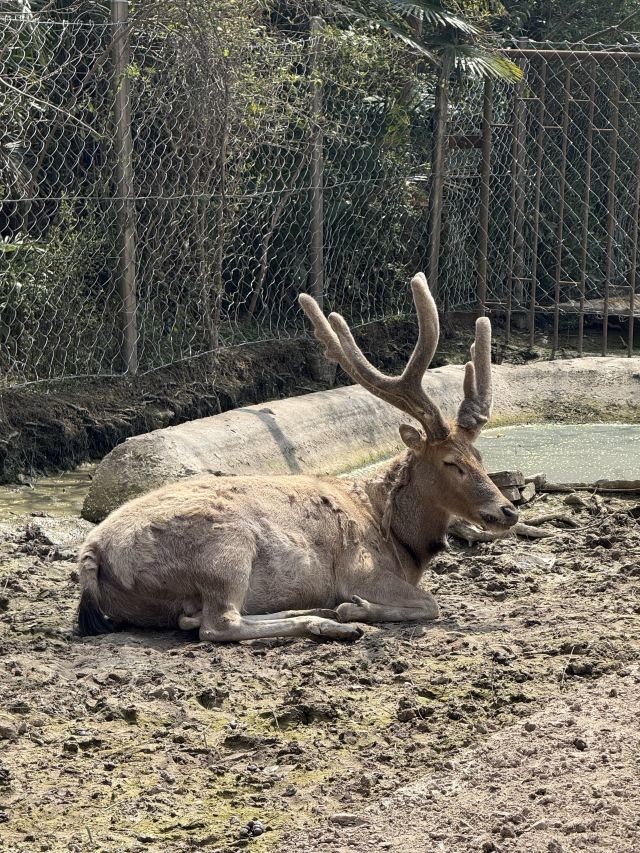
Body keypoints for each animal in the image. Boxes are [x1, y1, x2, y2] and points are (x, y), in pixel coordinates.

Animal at [77, 273, 518, 643]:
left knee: (199, 619)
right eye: (451, 462)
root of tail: (91, 553)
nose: (508, 510)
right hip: (225, 552)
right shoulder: (361, 569)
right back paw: (328, 621)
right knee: (216, 625)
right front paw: (354, 608)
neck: (399, 542)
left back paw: (315, 613)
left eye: (479, 455)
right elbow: (431, 603)